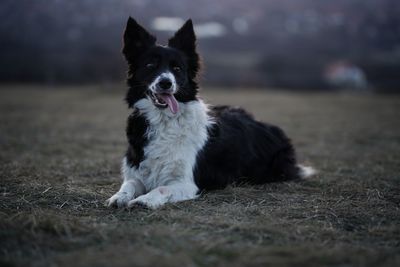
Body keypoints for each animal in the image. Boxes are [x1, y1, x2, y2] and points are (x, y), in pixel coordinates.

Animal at [106, 17, 316, 210]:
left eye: (177, 68)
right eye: (150, 65)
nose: (166, 83)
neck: (164, 120)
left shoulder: (187, 183)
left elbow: (161, 188)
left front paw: (144, 200)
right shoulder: (136, 170)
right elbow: (129, 184)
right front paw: (119, 197)